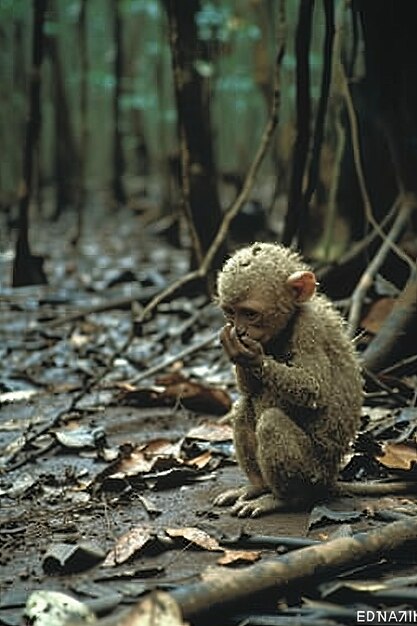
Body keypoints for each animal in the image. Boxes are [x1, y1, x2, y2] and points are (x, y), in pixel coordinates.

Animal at [213, 241, 362, 516]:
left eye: (250, 314)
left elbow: (314, 389)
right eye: (230, 312)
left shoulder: (309, 328)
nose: (239, 331)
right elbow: (249, 390)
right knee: (243, 406)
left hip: (314, 473)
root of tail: (331, 480)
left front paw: (251, 356)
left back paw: (283, 500)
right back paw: (258, 487)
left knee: (271, 422)